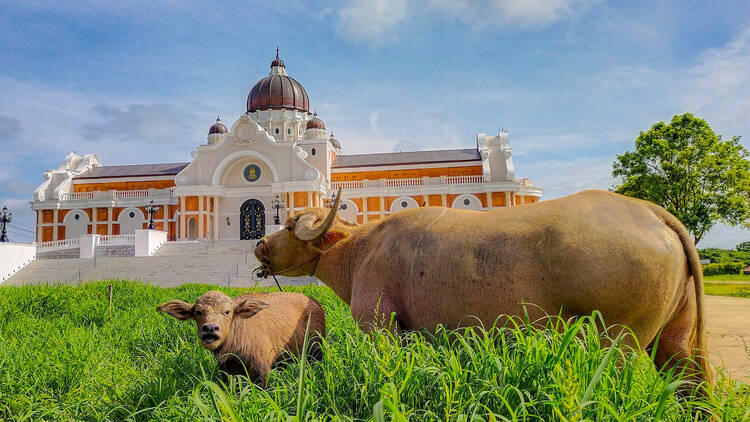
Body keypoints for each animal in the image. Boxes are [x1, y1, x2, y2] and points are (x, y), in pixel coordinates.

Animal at [157, 290, 324, 386]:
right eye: (198, 312)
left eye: (227, 311)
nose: (210, 328)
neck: (234, 349)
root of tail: (314, 302)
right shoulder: (227, 371)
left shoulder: (262, 370)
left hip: (315, 351)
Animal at [258, 190, 716, 388]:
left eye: (288, 224)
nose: (260, 244)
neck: (361, 249)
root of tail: (653, 212)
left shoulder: (379, 325)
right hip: (675, 339)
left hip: (619, 341)